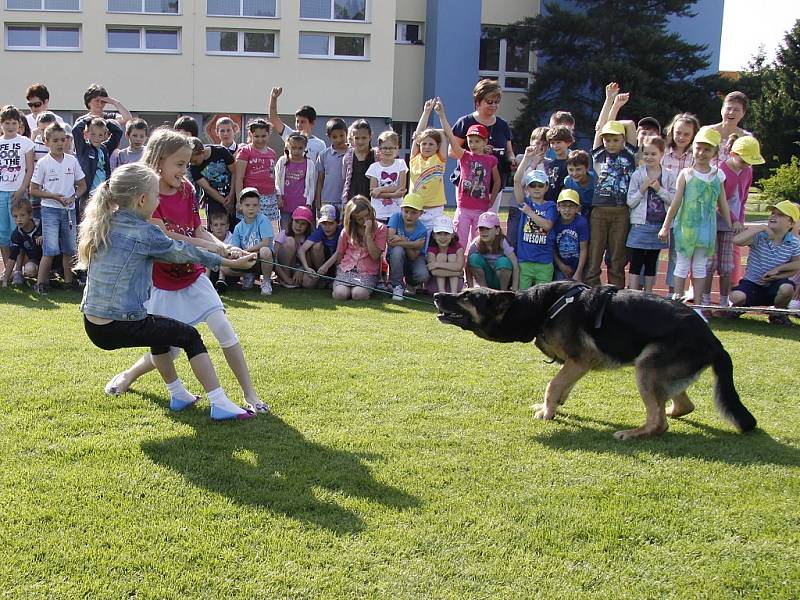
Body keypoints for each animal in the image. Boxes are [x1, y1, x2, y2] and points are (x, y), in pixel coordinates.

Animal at [438, 282, 756, 440]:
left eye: (467, 297)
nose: (439, 294)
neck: (536, 307)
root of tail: (714, 341)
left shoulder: (580, 360)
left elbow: (553, 384)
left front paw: (547, 412)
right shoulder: (578, 363)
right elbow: (561, 386)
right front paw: (554, 406)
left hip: (647, 367)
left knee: (659, 422)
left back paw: (634, 432)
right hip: (659, 369)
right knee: (681, 404)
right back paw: (670, 409)